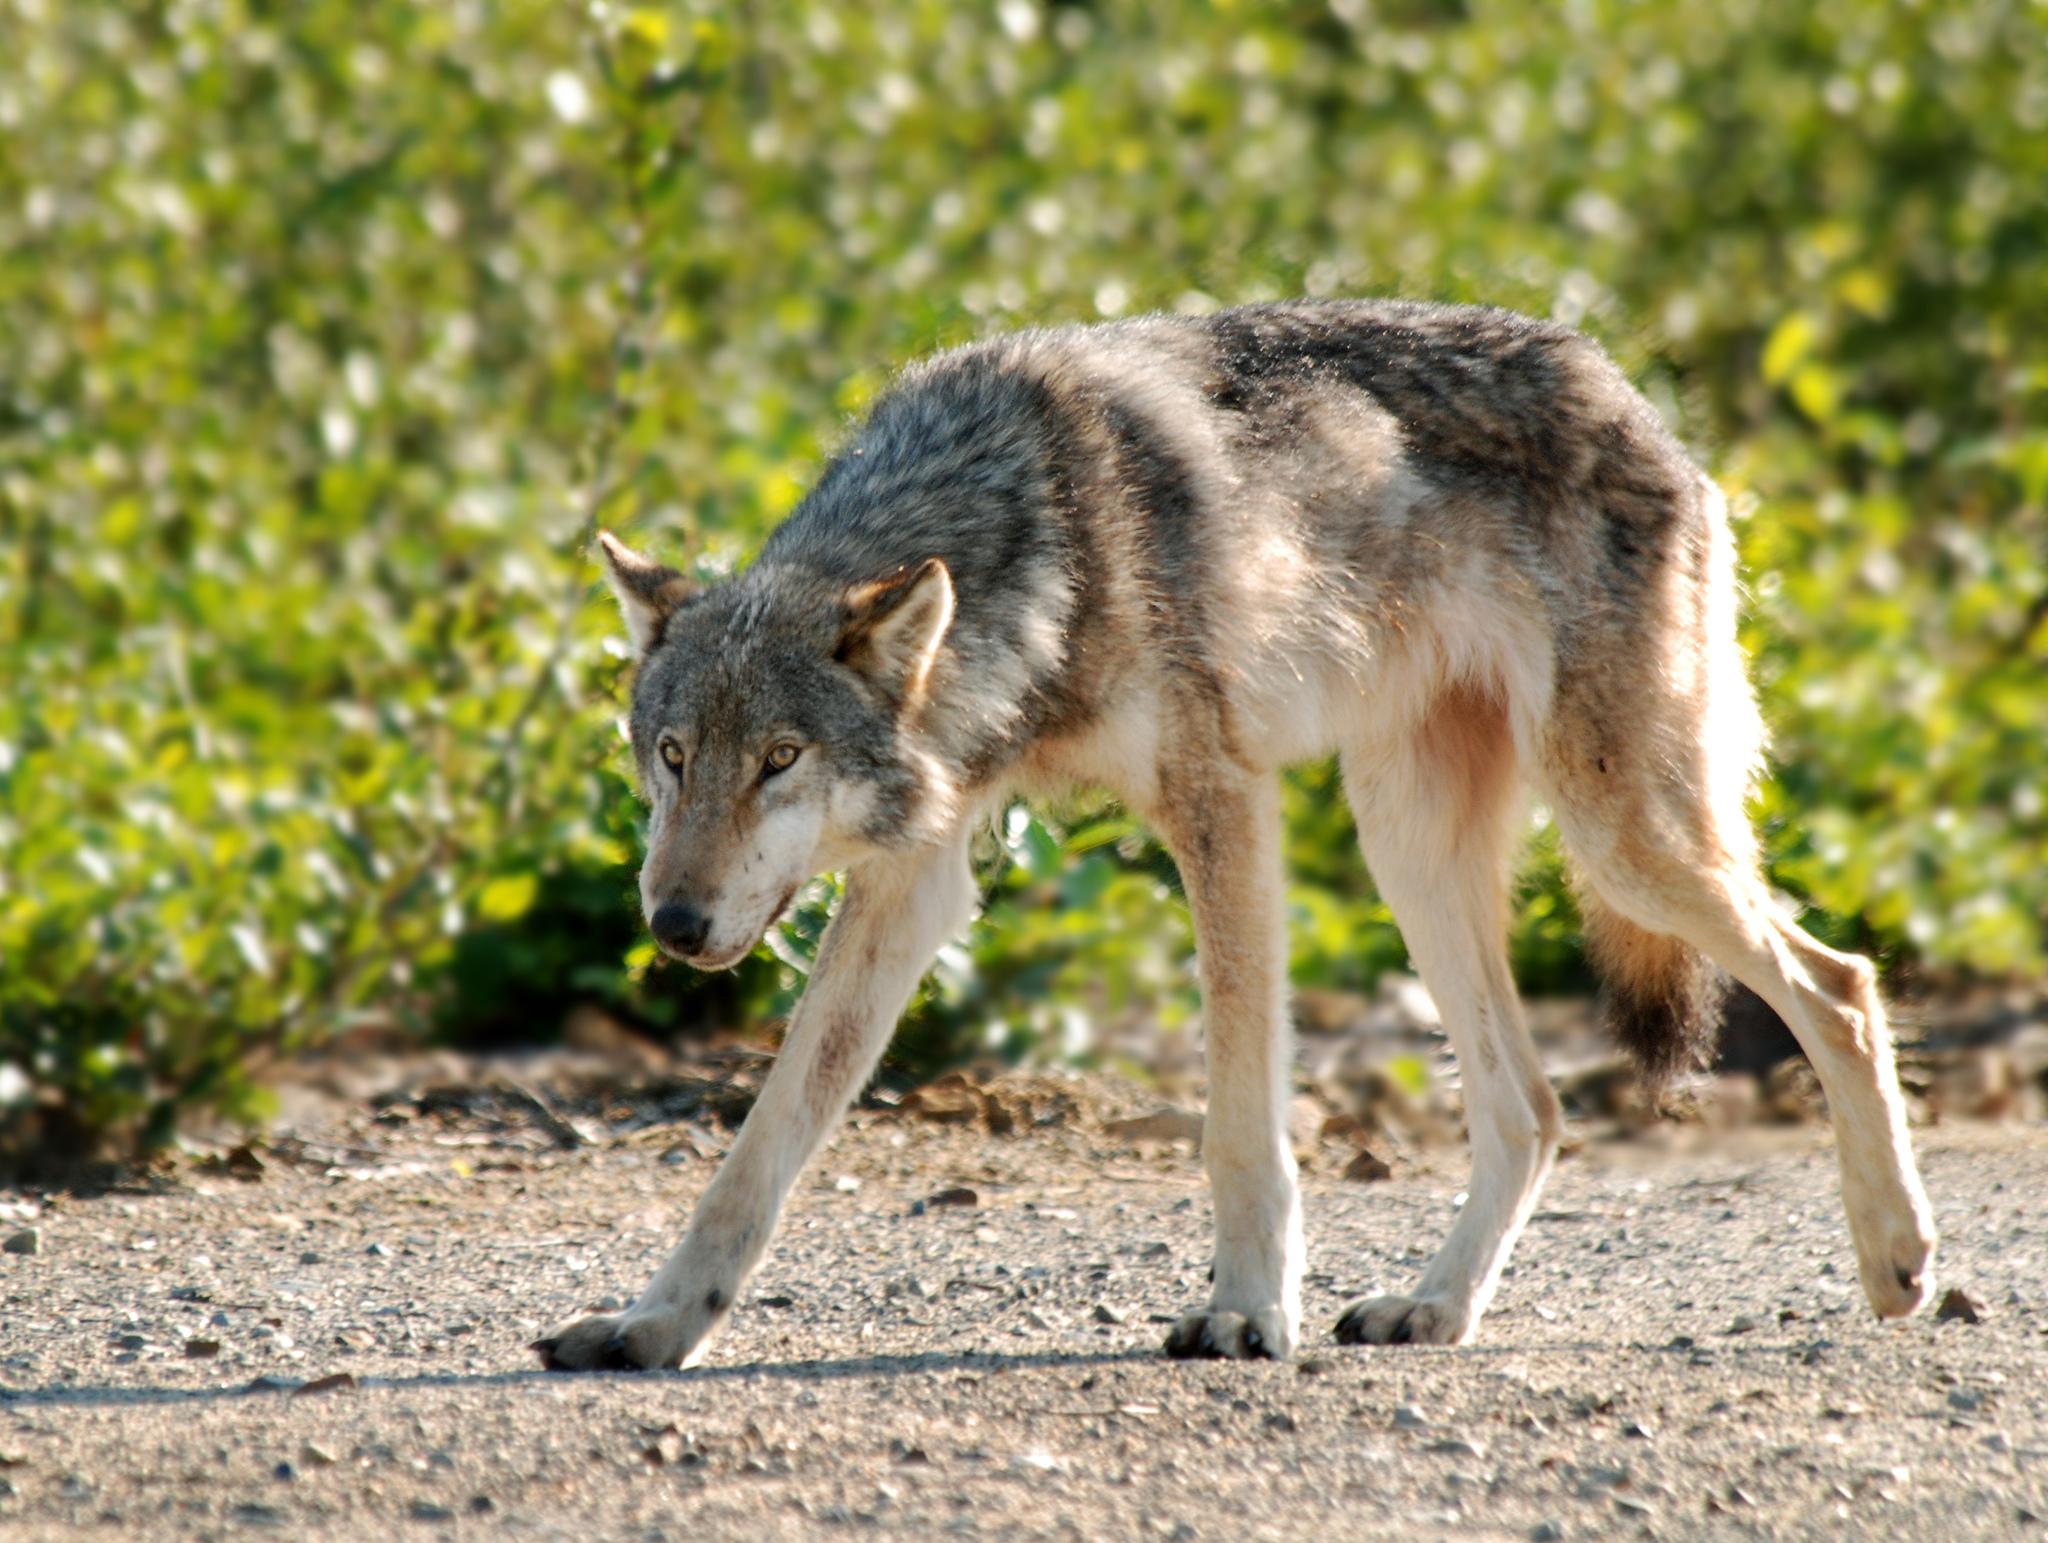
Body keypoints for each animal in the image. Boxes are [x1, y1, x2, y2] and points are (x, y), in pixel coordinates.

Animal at [534, 299, 1936, 1371]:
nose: (672, 924)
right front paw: (655, 1324)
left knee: (1839, 984)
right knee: (1532, 1106)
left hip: (1614, 835)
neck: (1036, 536)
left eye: (779, 760)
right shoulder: (917, 878)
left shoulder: (1221, 803)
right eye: (671, 758)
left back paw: (1898, 1261)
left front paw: (1249, 1311)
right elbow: (759, 1146)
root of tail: (1636, 399)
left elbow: (1240, 1123)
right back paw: (1434, 1308)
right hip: (1407, 848)